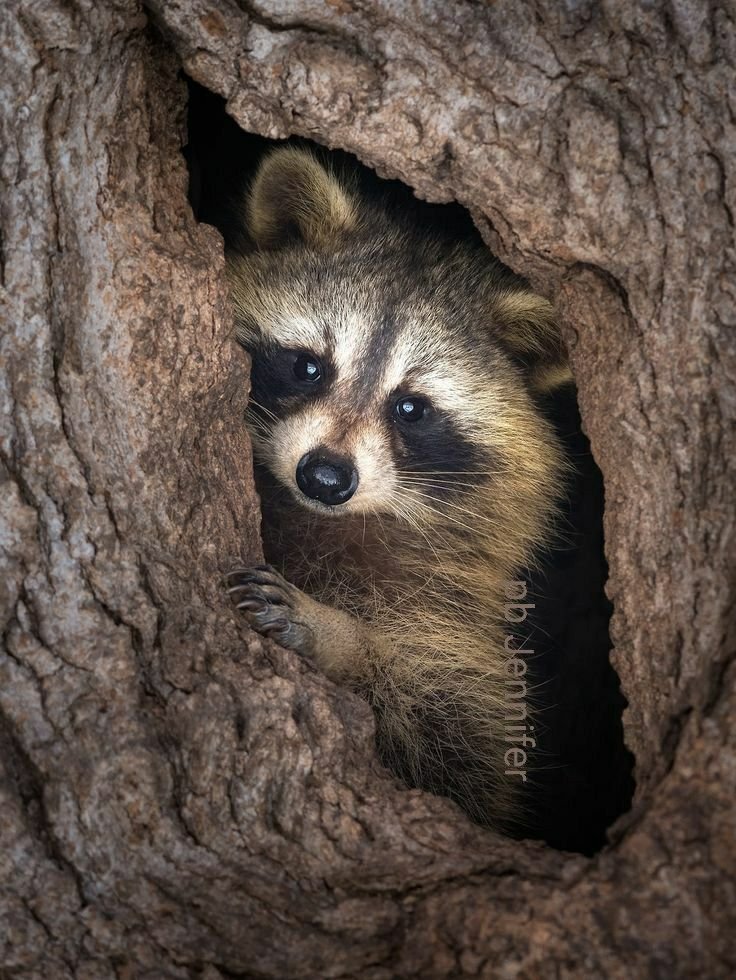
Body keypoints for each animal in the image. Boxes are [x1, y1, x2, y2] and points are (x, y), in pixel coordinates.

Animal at [225, 147, 572, 830]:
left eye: (410, 409)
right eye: (308, 366)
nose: (324, 477)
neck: (324, 520)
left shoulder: (453, 612)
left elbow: (448, 732)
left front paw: (340, 636)